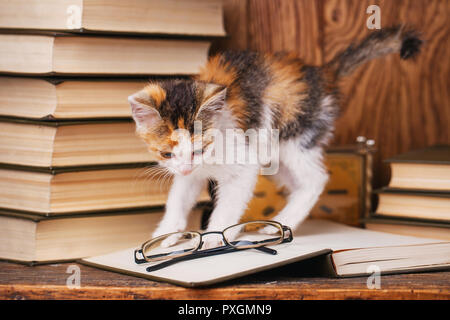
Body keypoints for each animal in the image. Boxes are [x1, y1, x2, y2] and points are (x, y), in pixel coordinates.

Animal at [127, 26, 422, 238]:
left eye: (200, 148)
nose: (187, 167)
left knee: (316, 179)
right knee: (298, 182)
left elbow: (229, 203)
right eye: (166, 153)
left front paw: (214, 238)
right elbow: (180, 195)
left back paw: (281, 222)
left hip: (294, 136)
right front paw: (166, 233)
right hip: (274, 154)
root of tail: (319, 74)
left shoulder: (243, 161)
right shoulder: (189, 173)